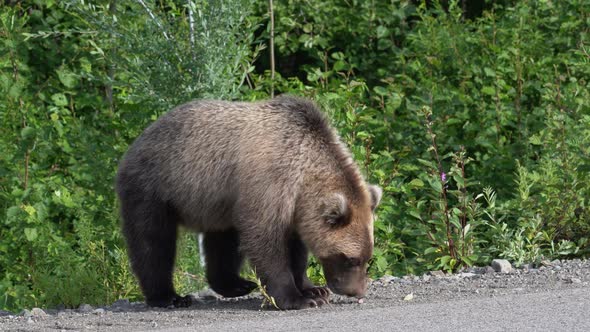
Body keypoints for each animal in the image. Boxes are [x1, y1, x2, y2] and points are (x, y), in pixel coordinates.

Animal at [115, 97, 384, 310]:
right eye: (350, 259)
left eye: (367, 257)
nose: (356, 292)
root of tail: (136, 142)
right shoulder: (268, 185)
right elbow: (265, 241)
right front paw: (298, 298)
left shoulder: (293, 208)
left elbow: (296, 248)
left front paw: (314, 289)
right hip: (156, 187)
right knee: (153, 241)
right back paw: (168, 297)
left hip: (217, 203)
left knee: (222, 240)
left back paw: (236, 285)